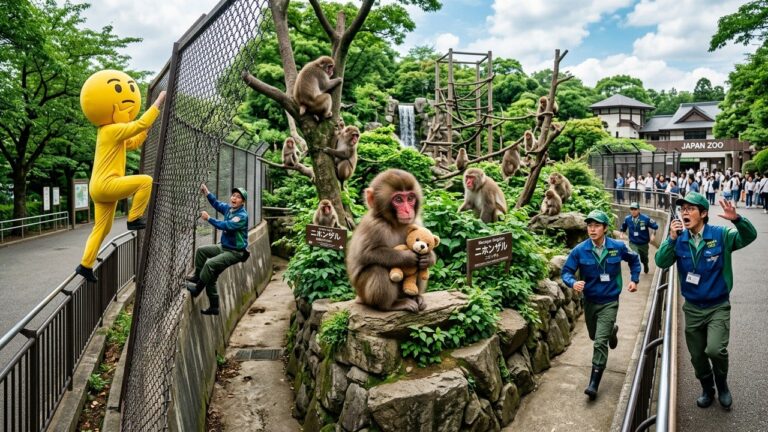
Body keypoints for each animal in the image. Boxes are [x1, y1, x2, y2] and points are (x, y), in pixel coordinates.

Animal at [346, 169, 435, 312]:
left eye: (410, 198)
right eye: (398, 199)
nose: (407, 210)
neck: (395, 223)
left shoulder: (416, 222)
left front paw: (428, 257)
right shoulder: (374, 226)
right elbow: (366, 254)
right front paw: (407, 257)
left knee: (421, 267)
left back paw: (415, 297)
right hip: (365, 295)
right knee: (377, 268)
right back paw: (390, 305)